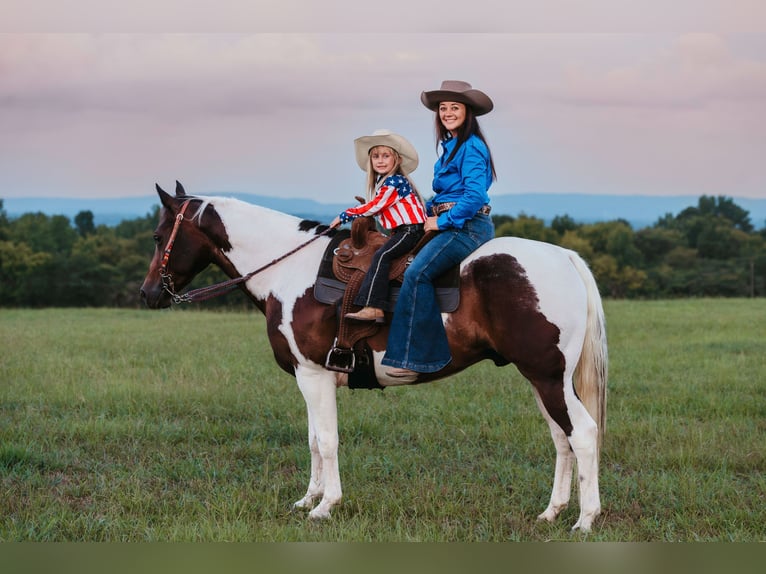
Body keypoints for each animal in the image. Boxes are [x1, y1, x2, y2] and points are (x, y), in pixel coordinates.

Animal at [140, 182, 612, 532]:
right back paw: (551, 512)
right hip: (542, 379)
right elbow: (313, 440)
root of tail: (563, 257)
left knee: (584, 434)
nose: (148, 295)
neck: (287, 273)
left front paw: (325, 506)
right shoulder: (311, 377)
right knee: (562, 438)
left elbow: (327, 441)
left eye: (159, 237)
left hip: (548, 377)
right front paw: (307, 499)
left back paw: (585, 520)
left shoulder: (313, 375)